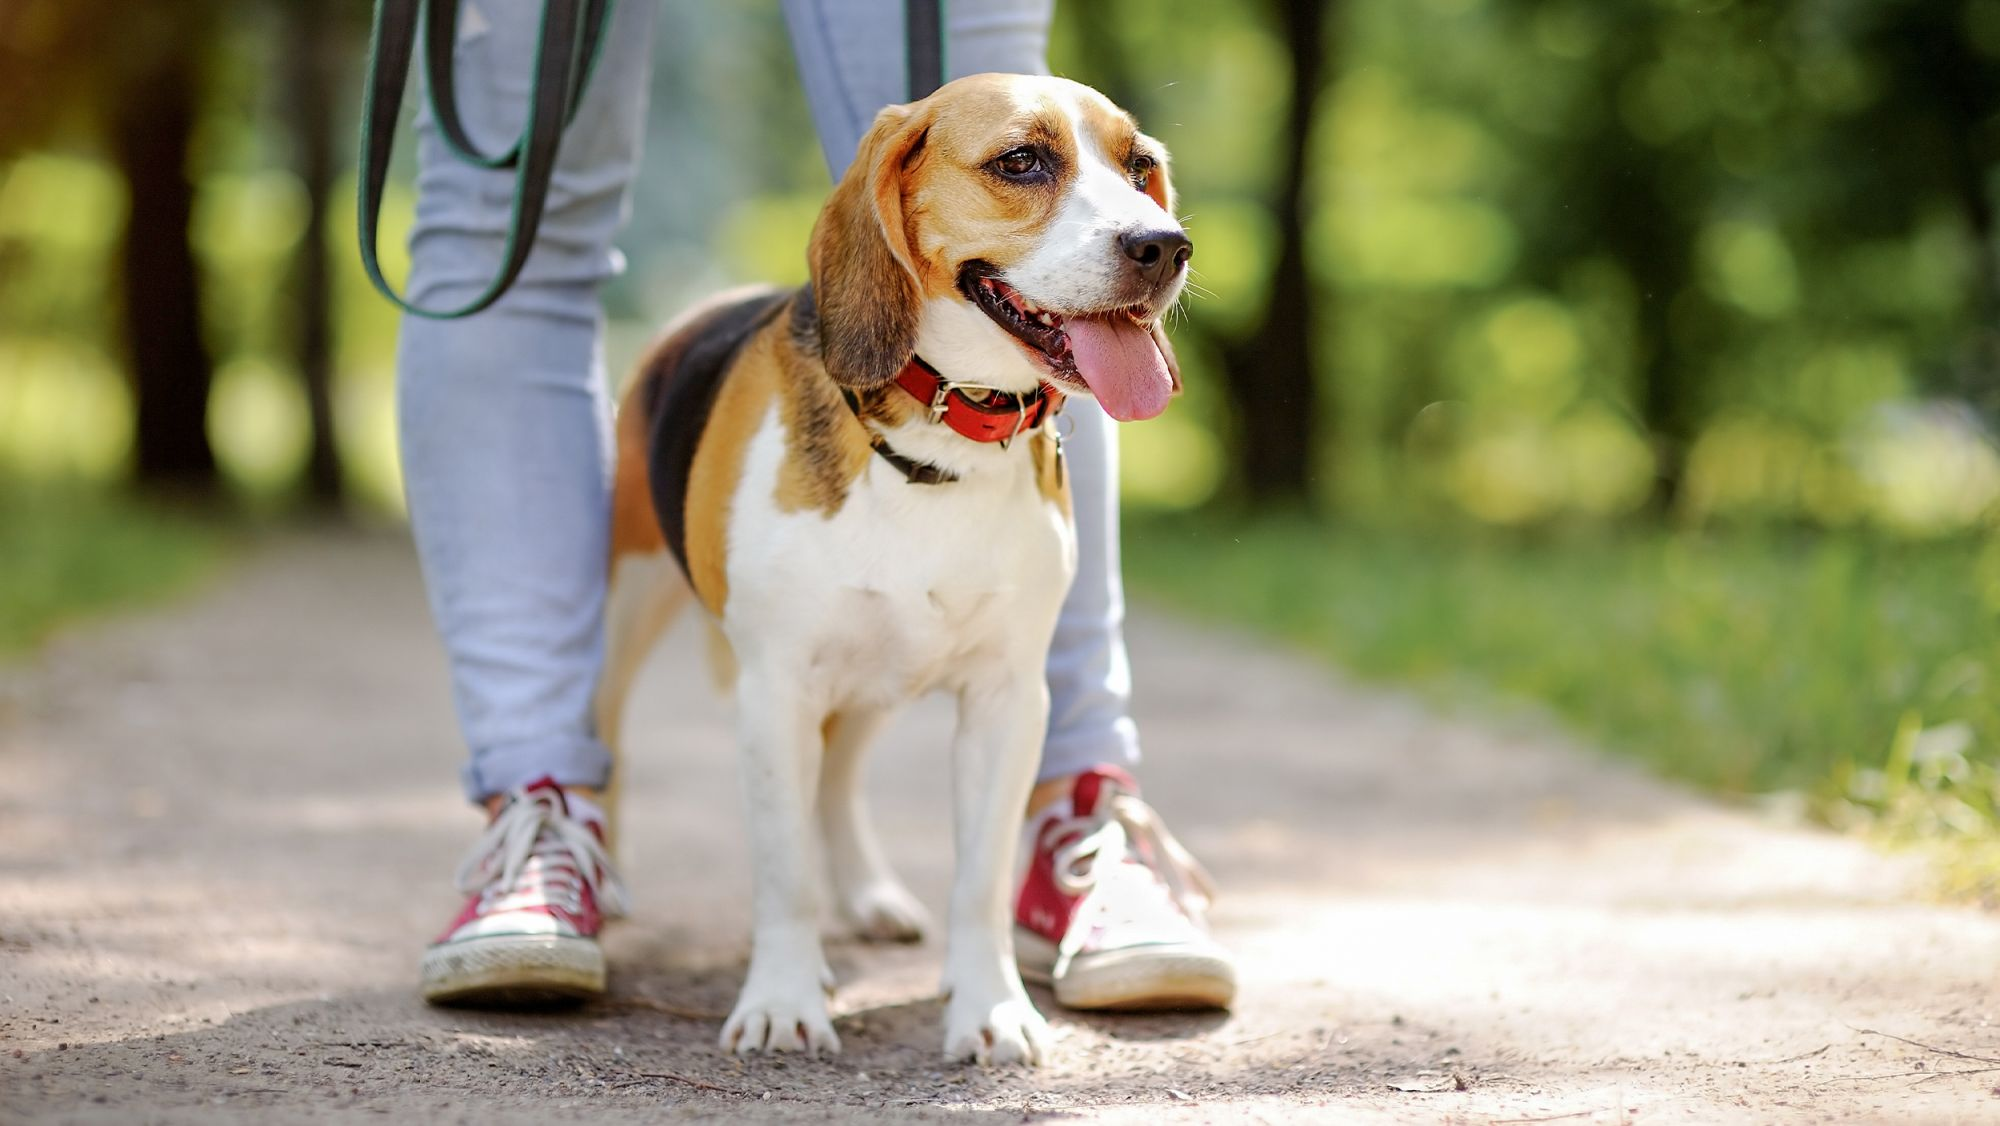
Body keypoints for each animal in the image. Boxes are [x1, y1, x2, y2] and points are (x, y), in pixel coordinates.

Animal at [592, 72, 1184, 1064]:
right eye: (1021, 161)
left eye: (1140, 166)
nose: (1165, 246)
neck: (944, 433)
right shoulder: (775, 689)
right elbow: (783, 871)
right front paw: (785, 999)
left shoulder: (1007, 699)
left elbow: (978, 878)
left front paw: (990, 1008)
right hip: (625, 608)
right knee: (608, 737)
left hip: (877, 675)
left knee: (838, 779)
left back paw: (868, 897)